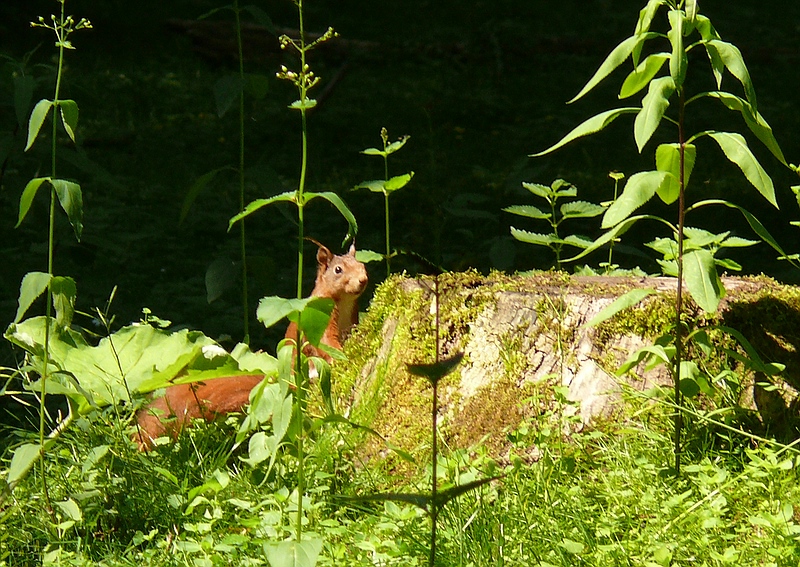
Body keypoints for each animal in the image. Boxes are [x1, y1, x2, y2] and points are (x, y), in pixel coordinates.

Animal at [135, 242, 368, 450]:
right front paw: (343, 355)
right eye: (338, 269)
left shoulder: (351, 320)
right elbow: (326, 344)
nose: (363, 280)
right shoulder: (316, 321)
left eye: (361, 264)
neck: (344, 302)